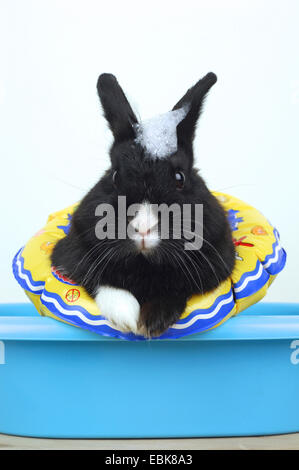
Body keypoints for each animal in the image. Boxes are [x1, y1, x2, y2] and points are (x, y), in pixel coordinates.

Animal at [51, 71, 237, 338]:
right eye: (115, 176)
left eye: (179, 178)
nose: (142, 228)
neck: (144, 264)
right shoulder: (72, 256)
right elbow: (103, 283)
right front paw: (127, 318)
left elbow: (175, 289)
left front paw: (152, 322)